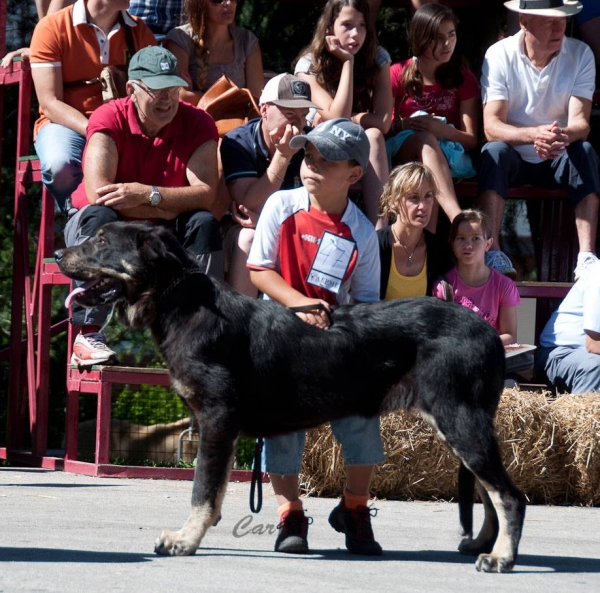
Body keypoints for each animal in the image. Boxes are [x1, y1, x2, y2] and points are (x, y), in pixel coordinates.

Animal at [56, 221, 524, 568]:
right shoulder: (220, 428)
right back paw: (482, 545)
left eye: (102, 241)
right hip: (463, 424)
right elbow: (215, 491)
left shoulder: (216, 419)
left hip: (459, 418)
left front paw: (184, 541)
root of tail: (490, 334)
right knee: (489, 492)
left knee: (509, 496)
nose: (59, 255)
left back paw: (500, 559)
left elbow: (202, 489)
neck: (180, 301)